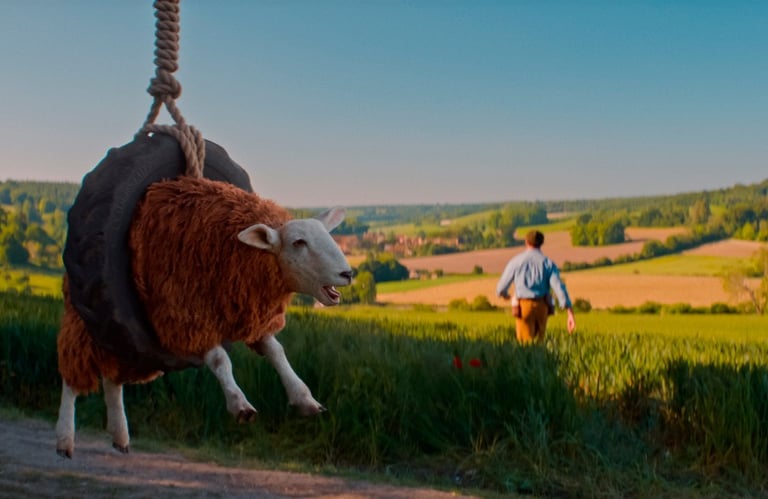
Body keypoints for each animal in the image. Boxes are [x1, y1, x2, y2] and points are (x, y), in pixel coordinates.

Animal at [55, 176, 353, 458]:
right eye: (298, 242)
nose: (348, 273)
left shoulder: (248, 316)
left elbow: (277, 353)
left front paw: (305, 399)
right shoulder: (189, 316)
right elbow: (221, 360)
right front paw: (239, 404)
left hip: (126, 343)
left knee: (111, 378)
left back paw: (119, 434)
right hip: (86, 325)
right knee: (72, 377)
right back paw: (65, 439)